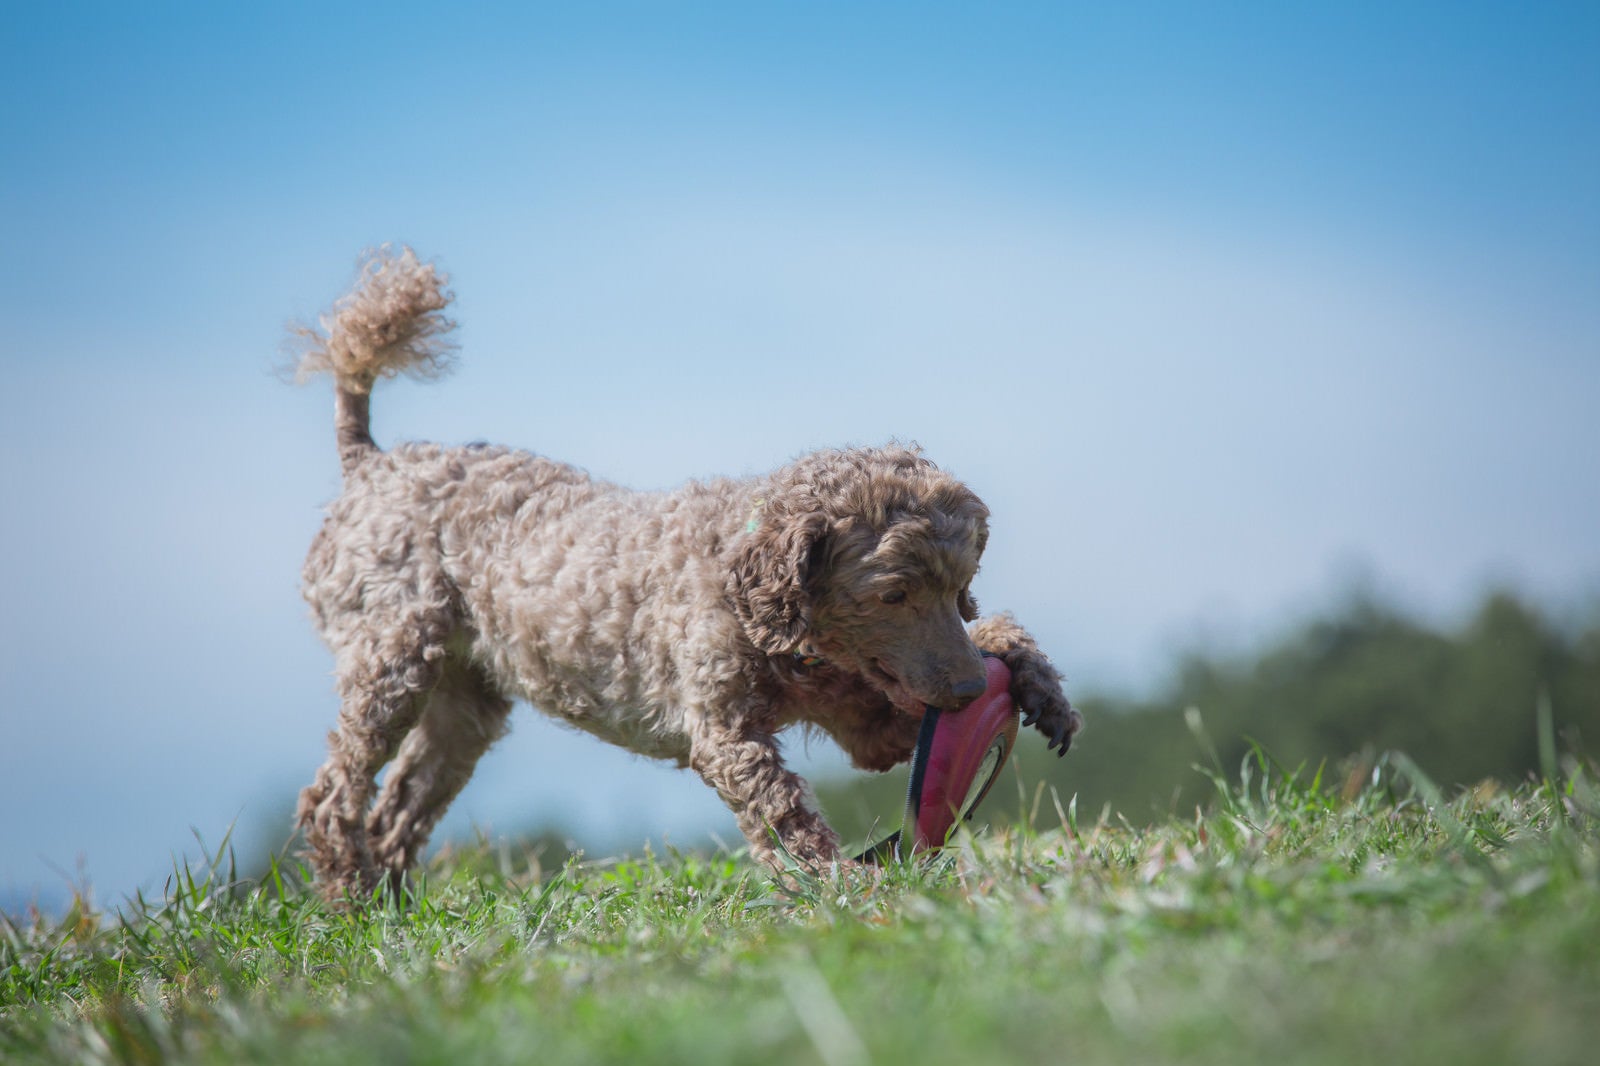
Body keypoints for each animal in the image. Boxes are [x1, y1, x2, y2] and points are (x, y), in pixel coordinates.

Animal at [292, 246, 1081, 896]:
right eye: (893, 594)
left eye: (960, 587)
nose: (971, 692)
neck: (762, 606)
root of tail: (371, 460)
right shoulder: (725, 734)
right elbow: (782, 810)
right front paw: (835, 884)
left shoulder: (868, 721)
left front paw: (1035, 677)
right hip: (392, 658)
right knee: (334, 795)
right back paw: (350, 899)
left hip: (467, 698)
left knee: (398, 808)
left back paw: (390, 909)